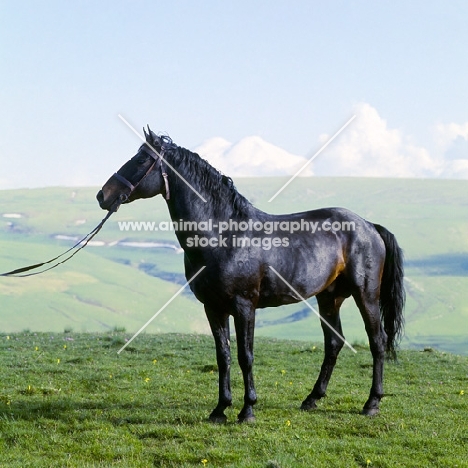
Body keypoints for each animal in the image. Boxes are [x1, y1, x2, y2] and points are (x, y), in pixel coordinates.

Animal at [97, 127, 404, 420]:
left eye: (141, 160)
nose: (103, 195)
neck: (224, 235)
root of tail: (369, 226)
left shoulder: (245, 306)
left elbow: (246, 356)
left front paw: (247, 410)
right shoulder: (214, 308)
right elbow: (223, 356)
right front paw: (220, 409)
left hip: (366, 295)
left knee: (377, 342)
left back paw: (372, 403)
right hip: (329, 297)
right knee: (334, 343)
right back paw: (312, 399)